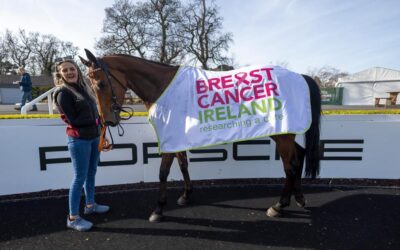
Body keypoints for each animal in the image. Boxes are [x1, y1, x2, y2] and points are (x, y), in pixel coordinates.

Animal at [79, 48, 320, 223]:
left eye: (101, 83)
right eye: (90, 85)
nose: (108, 121)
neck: (163, 87)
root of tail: (300, 76)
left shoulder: (170, 135)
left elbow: (163, 172)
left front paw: (158, 209)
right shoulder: (177, 135)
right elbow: (183, 164)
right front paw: (186, 195)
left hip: (283, 134)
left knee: (290, 166)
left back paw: (279, 206)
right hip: (285, 133)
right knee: (299, 156)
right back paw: (299, 198)